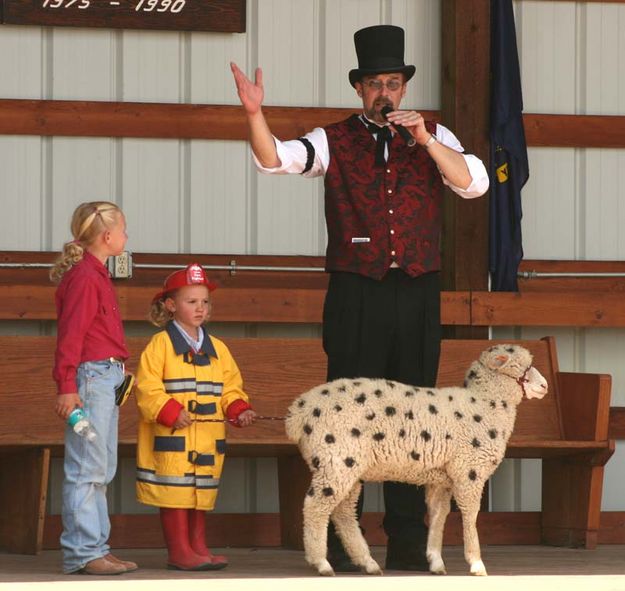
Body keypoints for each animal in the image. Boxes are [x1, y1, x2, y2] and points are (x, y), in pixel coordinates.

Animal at [282, 344, 544, 576]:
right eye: (524, 367)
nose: (544, 385)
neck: (486, 402)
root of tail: (297, 413)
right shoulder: (469, 471)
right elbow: (470, 515)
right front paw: (477, 563)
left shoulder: (443, 478)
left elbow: (439, 515)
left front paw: (436, 561)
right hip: (336, 460)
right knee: (316, 506)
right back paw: (322, 563)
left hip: (347, 465)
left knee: (344, 512)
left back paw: (367, 563)